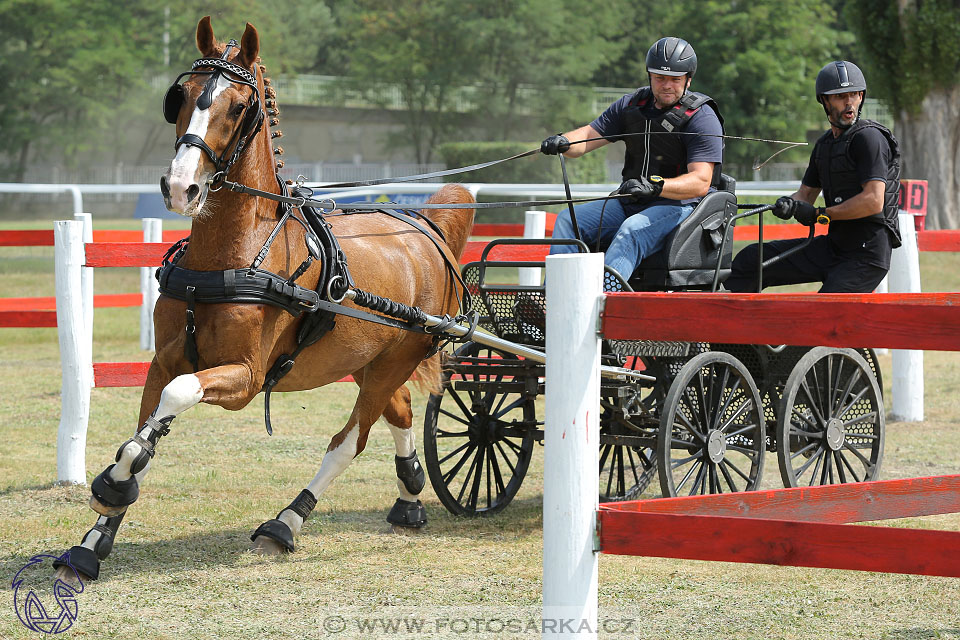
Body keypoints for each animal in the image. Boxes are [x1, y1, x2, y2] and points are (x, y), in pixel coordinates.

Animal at [55, 17, 472, 584]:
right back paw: (408, 496)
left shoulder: (246, 378)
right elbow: (142, 432)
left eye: (237, 107)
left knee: (350, 441)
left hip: (397, 358)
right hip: (368, 358)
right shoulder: (163, 361)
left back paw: (286, 523)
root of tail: (426, 230)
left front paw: (113, 488)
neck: (229, 258)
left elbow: (178, 396)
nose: (181, 187)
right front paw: (95, 536)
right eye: (180, 96)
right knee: (401, 410)